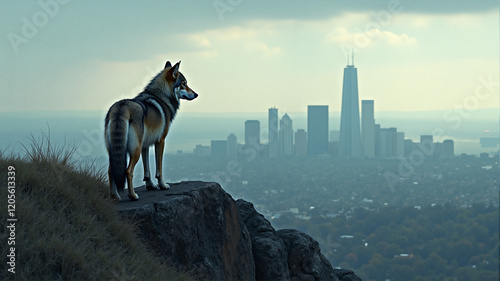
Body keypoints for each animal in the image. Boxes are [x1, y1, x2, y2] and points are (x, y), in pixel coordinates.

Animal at [104, 60, 197, 200]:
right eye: (184, 84)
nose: (196, 94)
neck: (162, 97)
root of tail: (121, 107)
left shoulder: (145, 145)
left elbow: (146, 170)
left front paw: (150, 186)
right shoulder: (160, 141)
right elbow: (159, 170)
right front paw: (163, 185)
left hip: (116, 152)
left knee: (112, 170)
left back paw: (115, 197)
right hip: (134, 151)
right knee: (128, 171)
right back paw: (132, 195)